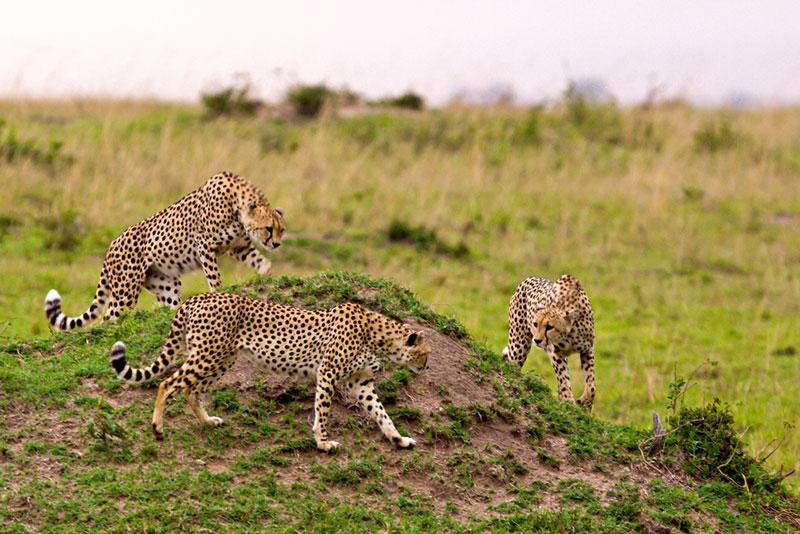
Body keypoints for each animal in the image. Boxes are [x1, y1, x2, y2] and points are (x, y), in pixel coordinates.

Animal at [44, 172, 284, 330]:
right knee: (108, 318)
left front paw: (267, 274)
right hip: (126, 293)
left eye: (281, 230)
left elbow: (259, 261)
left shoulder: (239, 247)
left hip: (165, 285)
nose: (276, 244)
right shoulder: (205, 246)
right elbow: (214, 277)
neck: (238, 205)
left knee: (169, 305)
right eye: (268, 228)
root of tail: (111, 246)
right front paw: (220, 293)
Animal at [111, 294, 432, 452]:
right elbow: (324, 410)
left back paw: (207, 421)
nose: (426, 366)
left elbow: (381, 413)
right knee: (168, 383)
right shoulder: (328, 373)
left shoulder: (361, 382)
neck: (377, 336)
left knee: (191, 389)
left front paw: (398, 439)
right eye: (425, 353)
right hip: (208, 355)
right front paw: (323, 442)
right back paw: (157, 428)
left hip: (221, 358)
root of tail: (196, 297)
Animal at [504, 274, 596, 412]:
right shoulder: (555, 353)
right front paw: (569, 403)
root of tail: (528, 278)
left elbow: (591, 384)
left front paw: (585, 402)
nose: (537, 340)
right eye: (535, 324)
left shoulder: (587, 349)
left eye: (549, 327)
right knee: (512, 368)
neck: (569, 333)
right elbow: (563, 379)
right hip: (518, 346)